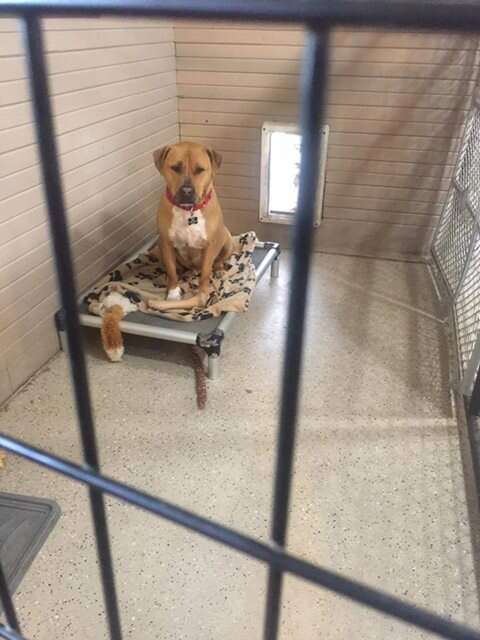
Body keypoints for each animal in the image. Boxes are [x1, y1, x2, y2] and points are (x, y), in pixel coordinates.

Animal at [102, 142, 233, 360]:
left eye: (200, 169)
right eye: (175, 167)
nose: (187, 190)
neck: (189, 211)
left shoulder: (209, 247)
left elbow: (206, 272)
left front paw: (202, 290)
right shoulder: (165, 243)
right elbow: (171, 271)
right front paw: (173, 293)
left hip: (227, 239)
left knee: (219, 260)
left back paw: (220, 268)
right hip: (159, 248)